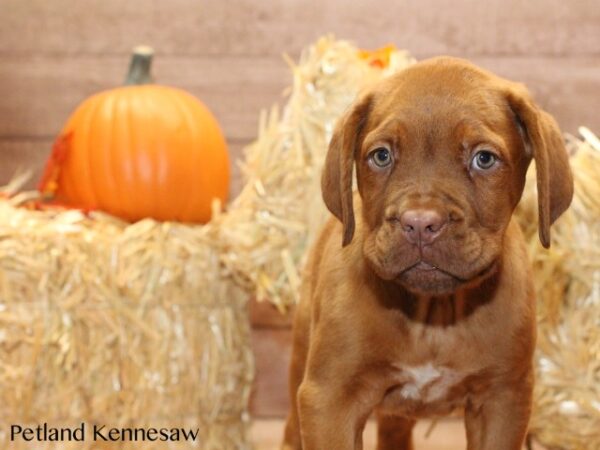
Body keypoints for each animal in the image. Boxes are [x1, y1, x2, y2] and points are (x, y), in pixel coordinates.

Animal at [282, 57, 572, 450]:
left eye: (484, 159)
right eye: (381, 156)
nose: (420, 223)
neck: (433, 316)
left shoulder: (503, 399)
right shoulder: (330, 399)